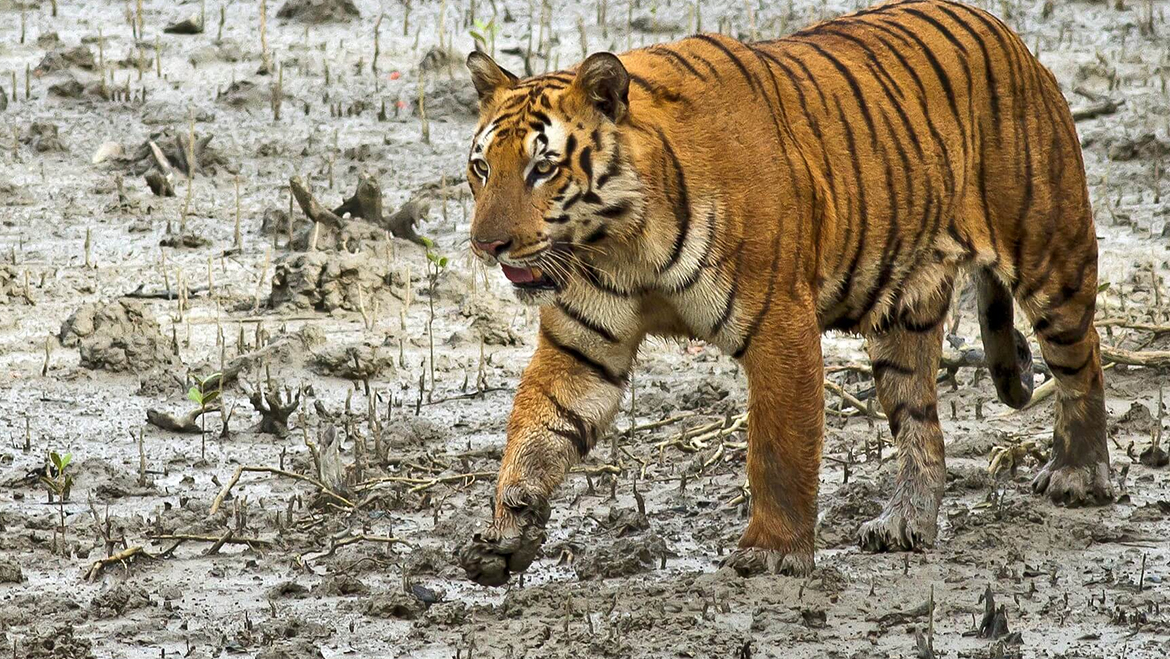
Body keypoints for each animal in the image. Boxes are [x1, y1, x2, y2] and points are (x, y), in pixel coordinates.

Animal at [451, 0, 1109, 587]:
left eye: (542, 168)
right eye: (483, 168)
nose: (486, 245)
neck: (622, 240)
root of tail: (1006, 32)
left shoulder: (778, 325)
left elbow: (778, 449)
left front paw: (771, 552)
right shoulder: (583, 348)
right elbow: (536, 432)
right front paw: (504, 535)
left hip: (1051, 256)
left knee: (1082, 361)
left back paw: (1079, 476)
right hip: (903, 317)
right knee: (921, 423)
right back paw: (905, 524)